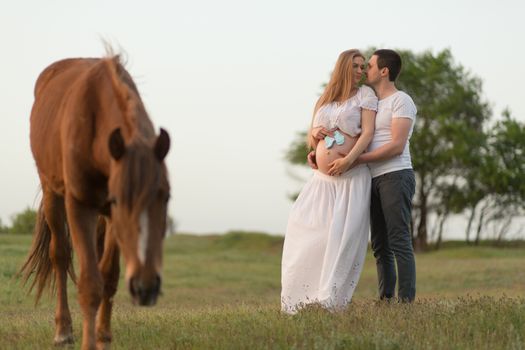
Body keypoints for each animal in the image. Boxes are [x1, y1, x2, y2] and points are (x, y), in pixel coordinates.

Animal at [18, 54, 169, 350]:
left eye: (166, 196)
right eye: (120, 199)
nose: (146, 288)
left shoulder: (109, 216)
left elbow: (108, 276)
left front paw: (103, 337)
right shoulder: (80, 205)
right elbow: (89, 282)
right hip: (53, 193)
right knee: (60, 254)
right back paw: (63, 330)